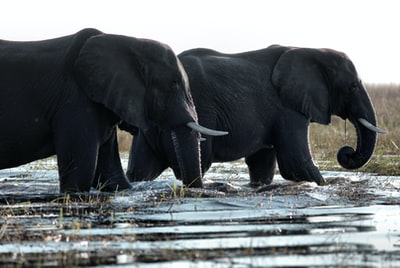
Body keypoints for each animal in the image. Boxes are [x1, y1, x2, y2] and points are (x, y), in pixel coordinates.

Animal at [126, 44, 386, 186]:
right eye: (352, 87)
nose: (346, 152)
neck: (310, 50)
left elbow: (262, 165)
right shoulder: (286, 108)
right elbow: (295, 164)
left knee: (140, 169)